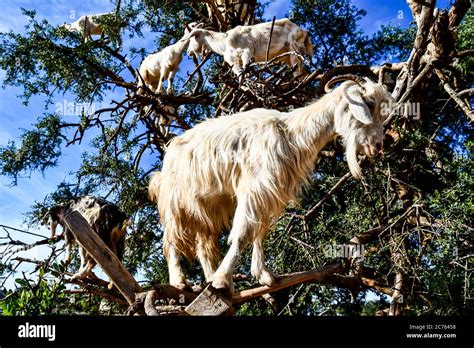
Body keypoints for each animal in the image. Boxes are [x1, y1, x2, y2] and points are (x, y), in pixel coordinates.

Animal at [150, 75, 394, 292]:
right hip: (176, 202)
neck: (291, 133)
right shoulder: (255, 187)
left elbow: (260, 231)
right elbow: (243, 232)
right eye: (369, 104)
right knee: (170, 240)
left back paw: (209, 276)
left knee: (203, 245)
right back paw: (180, 281)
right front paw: (223, 279)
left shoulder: (269, 191)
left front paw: (264, 275)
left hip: (208, 205)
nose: (378, 145)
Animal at [183, 18, 312, 77]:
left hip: (294, 45)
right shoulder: (233, 59)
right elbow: (239, 70)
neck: (224, 42)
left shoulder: (247, 50)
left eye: (191, 38)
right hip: (286, 56)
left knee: (298, 70)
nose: (189, 52)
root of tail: (304, 31)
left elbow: (245, 65)